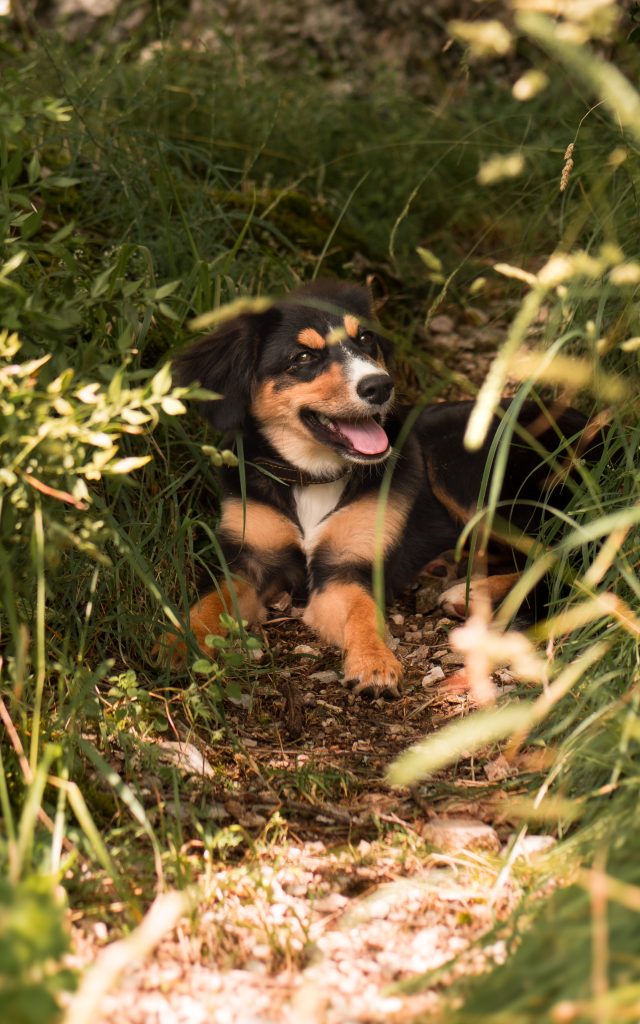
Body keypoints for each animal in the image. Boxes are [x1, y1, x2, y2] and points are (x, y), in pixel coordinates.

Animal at [161, 278, 598, 696]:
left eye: (365, 339)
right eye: (303, 357)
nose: (379, 386)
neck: (313, 475)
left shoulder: (348, 565)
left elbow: (363, 613)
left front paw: (374, 663)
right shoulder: (247, 557)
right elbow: (209, 601)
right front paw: (178, 643)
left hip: (459, 463)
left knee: (563, 558)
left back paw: (469, 594)